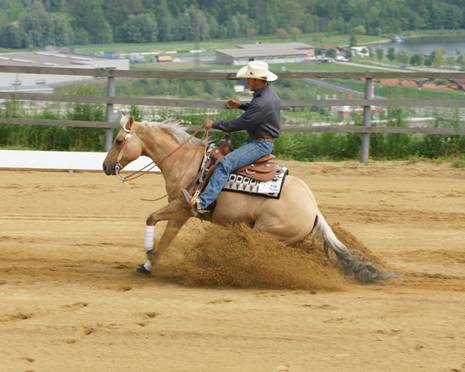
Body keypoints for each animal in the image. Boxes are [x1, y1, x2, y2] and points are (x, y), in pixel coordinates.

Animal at [103, 115, 390, 282]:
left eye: (119, 140)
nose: (105, 166)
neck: (187, 162)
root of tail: (314, 209)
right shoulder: (180, 210)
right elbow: (156, 225)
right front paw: (149, 259)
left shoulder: (182, 208)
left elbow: (157, 226)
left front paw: (148, 260)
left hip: (267, 233)